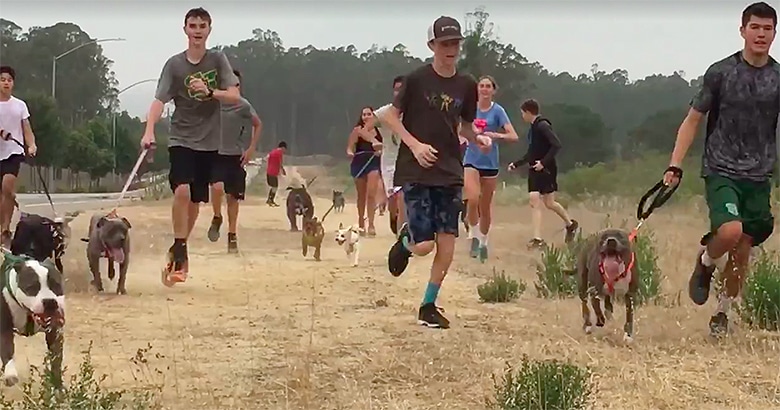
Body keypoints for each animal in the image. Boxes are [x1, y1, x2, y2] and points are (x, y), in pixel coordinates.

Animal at [0, 256, 65, 388]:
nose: (49, 301)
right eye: (31, 287)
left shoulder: (55, 331)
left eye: (56, 285)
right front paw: (10, 374)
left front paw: (57, 384)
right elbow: (7, 349)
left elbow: (56, 359)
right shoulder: (4, 328)